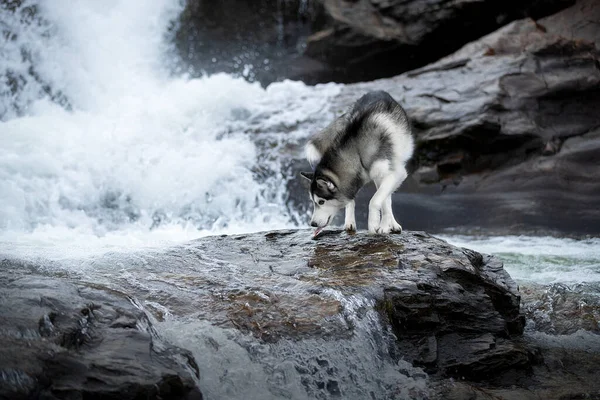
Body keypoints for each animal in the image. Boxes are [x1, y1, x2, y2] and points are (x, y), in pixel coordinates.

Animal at [300, 90, 412, 234]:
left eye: (321, 202)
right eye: (313, 202)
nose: (312, 224)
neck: (357, 153)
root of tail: (376, 91)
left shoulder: (395, 173)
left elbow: (376, 200)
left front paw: (376, 224)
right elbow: (374, 200)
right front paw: (380, 224)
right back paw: (351, 222)